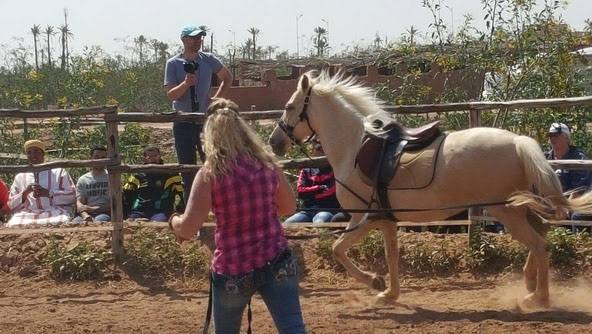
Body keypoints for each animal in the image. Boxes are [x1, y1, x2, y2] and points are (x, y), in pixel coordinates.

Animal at [270, 70, 592, 308]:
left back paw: (537, 298)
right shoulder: (384, 219)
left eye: (289, 107)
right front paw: (388, 293)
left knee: (541, 245)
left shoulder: (365, 217)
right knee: (543, 230)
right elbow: (390, 256)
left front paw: (375, 282)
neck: (355, 148)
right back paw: (528, 283)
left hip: (506, 213)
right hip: (518, 207)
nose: (275, 142)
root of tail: (517, 142)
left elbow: (338, 249)